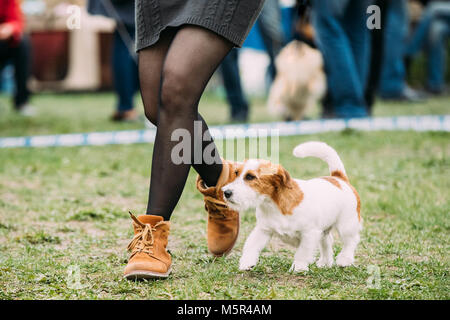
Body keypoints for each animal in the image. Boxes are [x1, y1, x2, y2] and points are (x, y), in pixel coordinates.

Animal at [221, 141, 362, 272]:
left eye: (250, 177)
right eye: (236, 173)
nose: (226, 192)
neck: (273, 204)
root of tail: (339, 178)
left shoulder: (309, 234)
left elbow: (302, 253)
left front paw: (298, 268)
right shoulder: (263, 230)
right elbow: (251, 245)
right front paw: (247, 263)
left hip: (346, 225)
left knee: (351, 241)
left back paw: (344, 260)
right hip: (324, 230)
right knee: (327, 242)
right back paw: (325, 262)